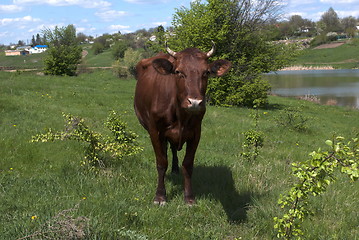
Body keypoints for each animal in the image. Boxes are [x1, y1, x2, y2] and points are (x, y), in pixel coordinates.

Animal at [134, 42, 232, 204]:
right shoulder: (155, 131)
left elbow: (187, 165)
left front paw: (189, 197)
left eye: (206, 72)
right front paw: (160, 196)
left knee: (173, 148)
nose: (195, 102)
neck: (180, 116)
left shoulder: (196, 132)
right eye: (178, 72)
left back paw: (174, 169)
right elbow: (161, 162)